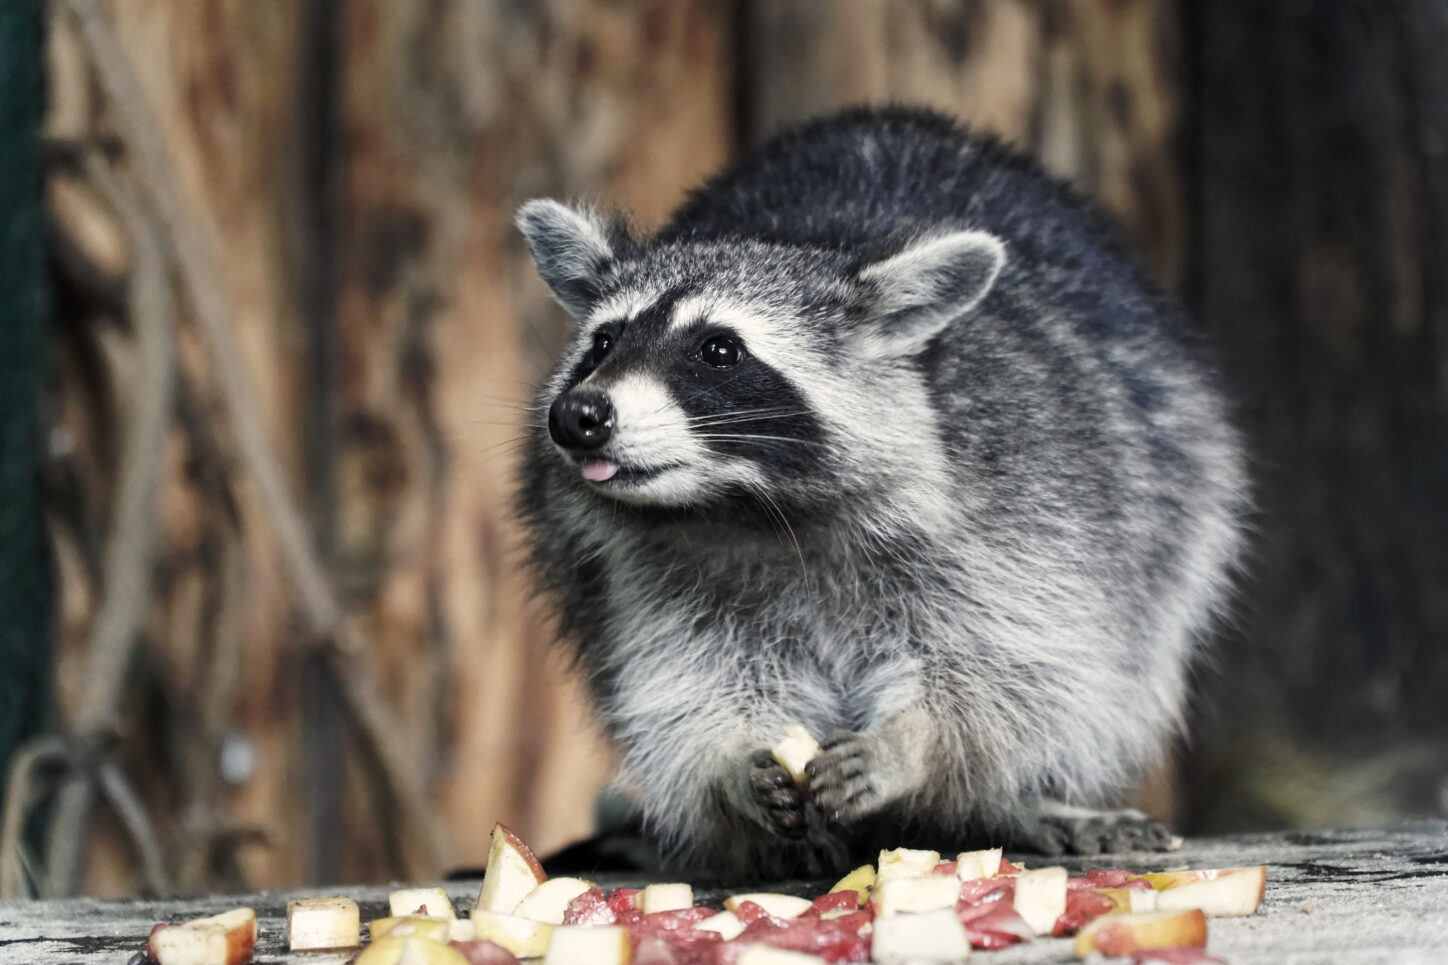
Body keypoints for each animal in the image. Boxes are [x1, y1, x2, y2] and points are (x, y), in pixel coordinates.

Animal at [515, 108, 1251, 875]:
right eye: (603, 342)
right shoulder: (650, 570)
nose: (578, 415)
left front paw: (911, 743)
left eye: (719, 349)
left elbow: (1012, 668)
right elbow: (690, 679)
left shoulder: (1025, 508)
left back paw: (1027, 803)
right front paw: (731, 764)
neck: (754, 505)